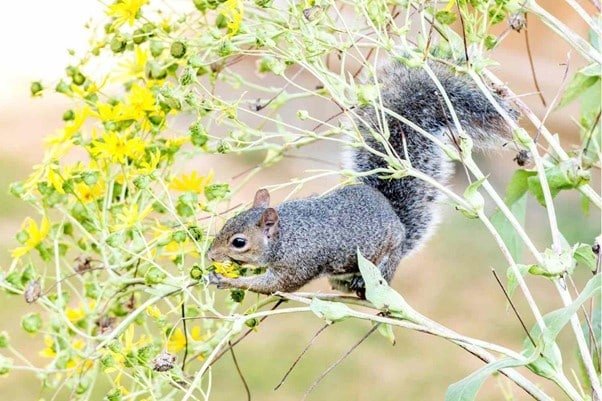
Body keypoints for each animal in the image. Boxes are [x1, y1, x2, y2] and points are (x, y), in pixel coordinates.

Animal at [206, 61, 516, 296]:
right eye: (227, 223)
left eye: (238, 242)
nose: (210, 255)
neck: (285, 235)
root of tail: (396, 221)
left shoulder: (298, 263)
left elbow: (275, 286)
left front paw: (227, 280)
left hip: (384, 260)